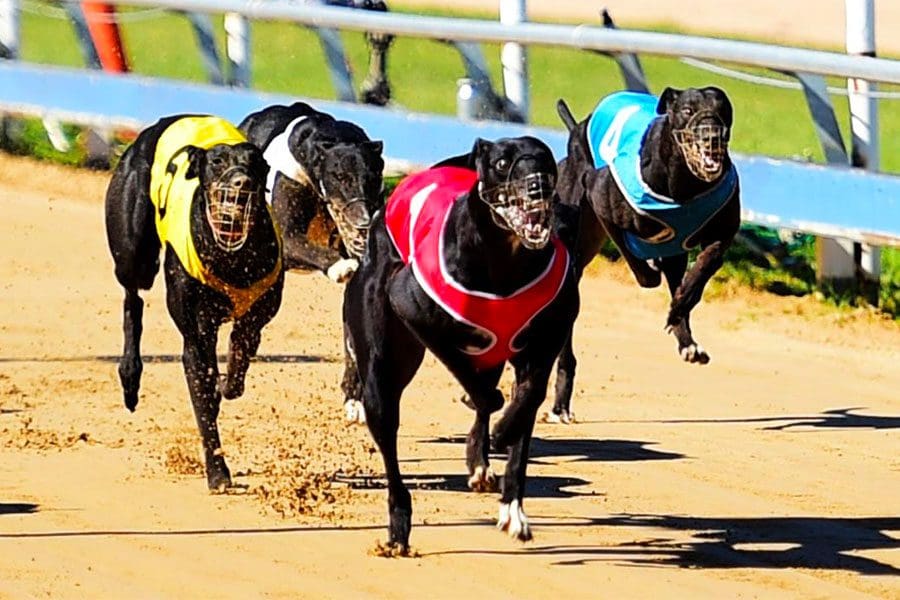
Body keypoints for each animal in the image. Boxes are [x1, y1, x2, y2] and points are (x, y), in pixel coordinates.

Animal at [108, 113, 284, 492]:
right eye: (217, 162)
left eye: (257, 164)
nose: (242, 183)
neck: (230, 257)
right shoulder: (196, 336)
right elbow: (203, 396)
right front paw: (218, 473)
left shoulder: (254, 318)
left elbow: (237, 361)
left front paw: (225, 383)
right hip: (134, 255)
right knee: (133, 300)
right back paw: (130, 376)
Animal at [342, 137, 580, 552]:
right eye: (502, 163)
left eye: (546, 161)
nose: (538, 186)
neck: (506, 260)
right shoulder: (415, 311)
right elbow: (479, 387)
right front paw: (497, 422)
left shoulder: (542, 345)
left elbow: (527, 400)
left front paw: (512, 506)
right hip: (384, 362)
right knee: (387, 428)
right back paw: (399, 523)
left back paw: (482, 459)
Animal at [548, 86, 740, 424]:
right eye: (688, 110)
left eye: (723, 109)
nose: (711, 135)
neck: (683, 186)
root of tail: (578, 127)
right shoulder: (601, 198)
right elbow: (640, 265)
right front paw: (650, 268)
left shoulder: (721, 232)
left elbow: (701, 271)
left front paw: (680, 306)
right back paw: (560, 403)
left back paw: (688, 343)